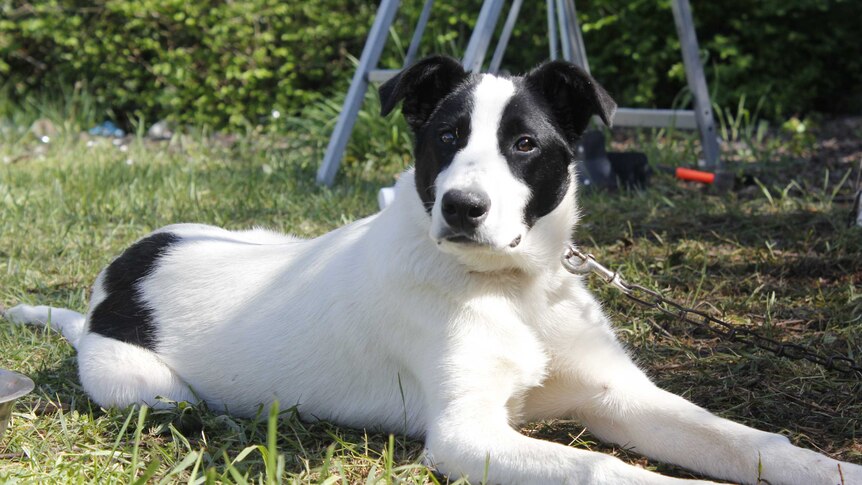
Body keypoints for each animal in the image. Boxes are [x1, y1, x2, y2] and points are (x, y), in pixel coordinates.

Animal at [8, 57, 862, 484]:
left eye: (525, 143)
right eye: (445, 135)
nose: (462, 206)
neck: (514, 286)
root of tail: (112, 281)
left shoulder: (622, 393)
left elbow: (749, 440)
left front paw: (830, 467)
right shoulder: (466, 431)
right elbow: (605, 471)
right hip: (147, 389)